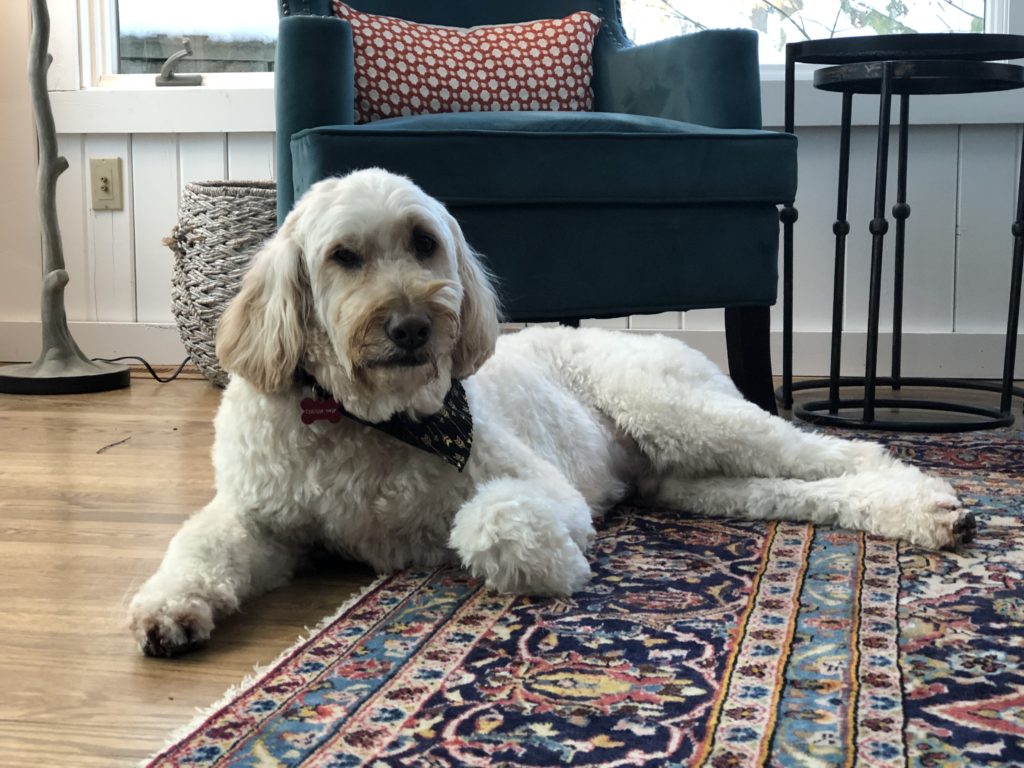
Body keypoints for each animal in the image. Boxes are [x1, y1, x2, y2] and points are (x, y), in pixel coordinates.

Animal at [130, 171, 974, 659]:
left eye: (424, 243)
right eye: (344, 257)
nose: (412, 326)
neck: (368, 418)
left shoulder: (541, 486)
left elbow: (490, 522)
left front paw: (553, 567)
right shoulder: (260, 516)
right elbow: (199, 546)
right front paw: (167, 609)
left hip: (681, 411)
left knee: (840, 452)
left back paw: (927, 501)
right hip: (697, 481)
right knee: (802, 491)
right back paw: (918, 514)